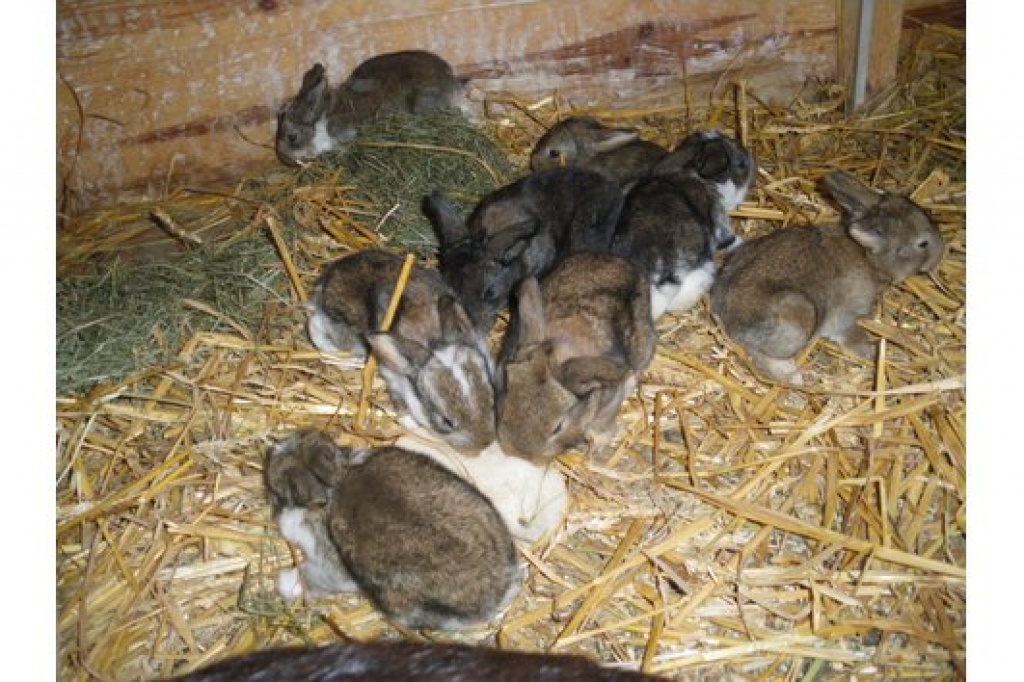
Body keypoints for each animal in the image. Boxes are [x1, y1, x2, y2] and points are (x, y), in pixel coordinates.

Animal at [308, 249, 496, 453]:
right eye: (446, 421)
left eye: (491, 397)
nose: (485, 443)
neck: (432, 342)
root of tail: (327, 276)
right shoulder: (393, 377)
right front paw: (410, 424)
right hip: (343, 329)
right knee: (314, 325)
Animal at [709, 169, 945, 384]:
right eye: (922, 243)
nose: (941, 253)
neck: (869, 257)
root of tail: (726, 318)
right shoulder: (847, 317)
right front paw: (872, 352)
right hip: (800, 315)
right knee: (759, 354)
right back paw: (792, 376)